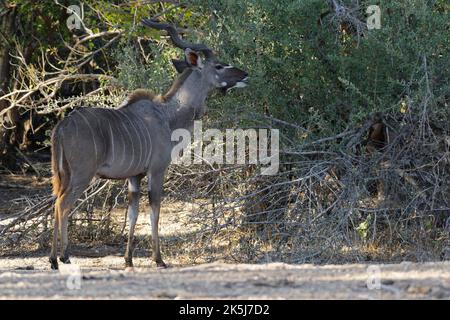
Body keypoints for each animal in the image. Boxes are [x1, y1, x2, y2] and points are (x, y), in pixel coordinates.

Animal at [49, 19, 250, 270]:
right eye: (219, 66)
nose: (245, 75)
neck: (168, 116)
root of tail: (61, 126)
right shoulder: (157, 170)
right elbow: (155, 209)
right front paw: (159, 259)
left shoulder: (134, 177)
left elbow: (133, 212)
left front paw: (128, 260)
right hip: (82, 174)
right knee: (63, 204)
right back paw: (62, 257)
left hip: (63, 174)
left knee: (55, 202)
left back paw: (54, 258)